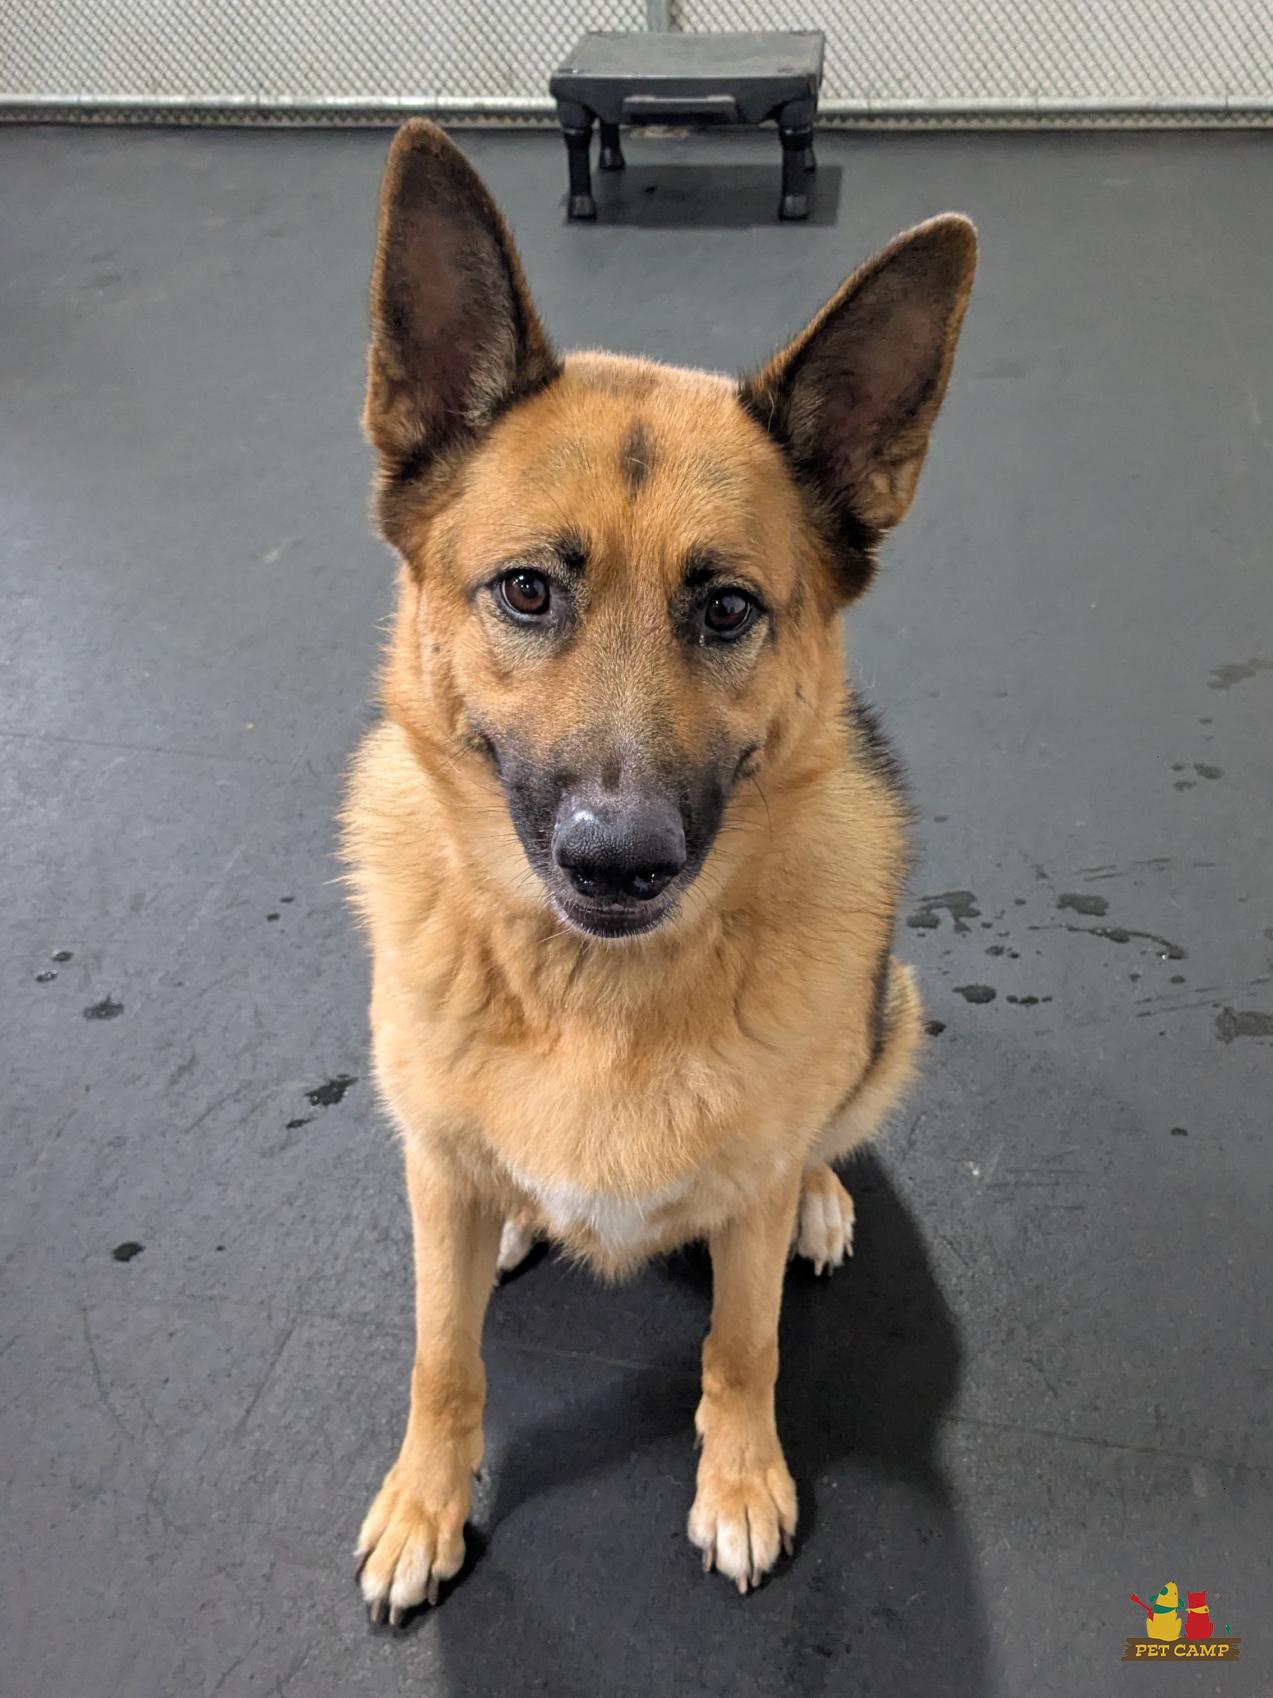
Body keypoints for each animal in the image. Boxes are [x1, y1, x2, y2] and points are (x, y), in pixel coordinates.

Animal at [343, 120, 976, 1619]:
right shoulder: (432, 1188)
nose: (620, 860)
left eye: (728, 610)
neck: (593, 991)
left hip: (894, 1011)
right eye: (527, 591)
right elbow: (443, 1358)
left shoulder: (741, 1229)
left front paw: (740, 1482)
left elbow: (742, 1348)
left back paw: (818, 1196)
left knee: (820, 1137)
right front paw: (425, 1500)